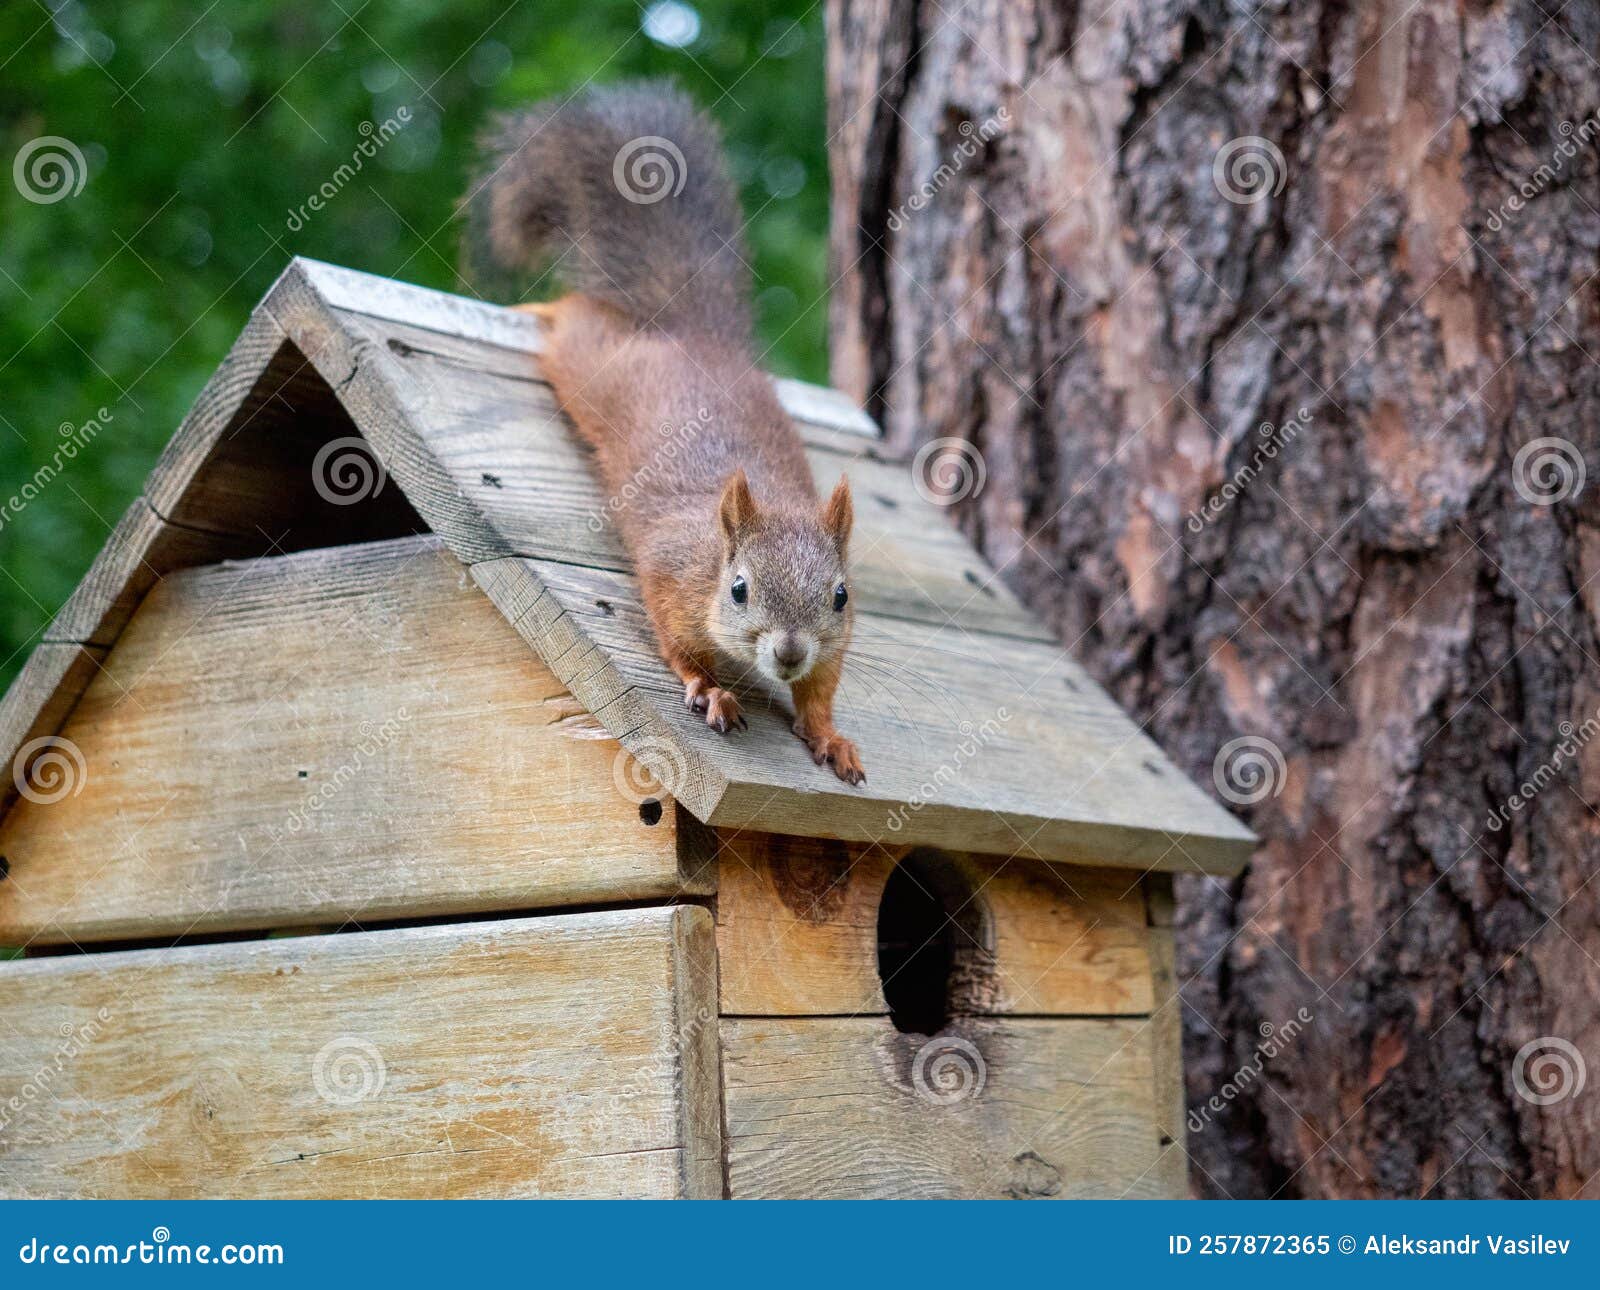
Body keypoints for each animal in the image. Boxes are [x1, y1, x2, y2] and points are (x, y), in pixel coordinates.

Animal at [466, 82, 864, 785]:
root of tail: (691, 333)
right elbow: (675, 643)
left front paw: (829, 735)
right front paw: (711, 690)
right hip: (594, 362)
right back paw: (535, 308)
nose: (789, 653)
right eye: (738, 589)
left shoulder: (835, 642)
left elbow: (822, 688)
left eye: (840, 596)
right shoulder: (670, 577)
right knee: (576, 317)